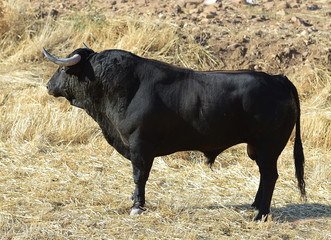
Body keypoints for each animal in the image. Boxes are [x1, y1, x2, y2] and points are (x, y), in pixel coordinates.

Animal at [43, 46, 306, 220]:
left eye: (62, 69)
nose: (48, 86)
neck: (123, 86)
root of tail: (277, 79)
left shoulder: (140, 147)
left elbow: (140, 176)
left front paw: (137, 205)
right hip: (259, 149)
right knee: (264, 176)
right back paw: (255, 206)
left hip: (267, 148)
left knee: (270, 176)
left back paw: (261, 214)